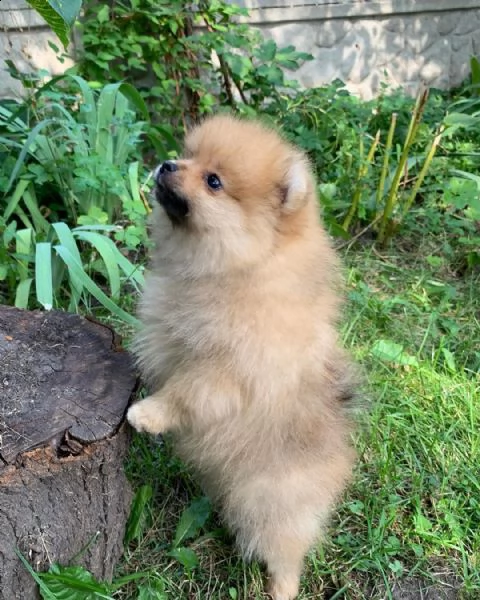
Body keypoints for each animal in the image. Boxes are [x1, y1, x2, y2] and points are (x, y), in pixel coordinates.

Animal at [127, 113, 356, 600]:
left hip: (270, 503)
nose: (167, 164)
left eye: (214, 181)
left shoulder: (228, 370)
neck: (238, 271)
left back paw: (280, 589)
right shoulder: (168, 335)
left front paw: (147, 415)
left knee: (286, 552)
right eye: (188, 155)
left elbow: (185, 393)